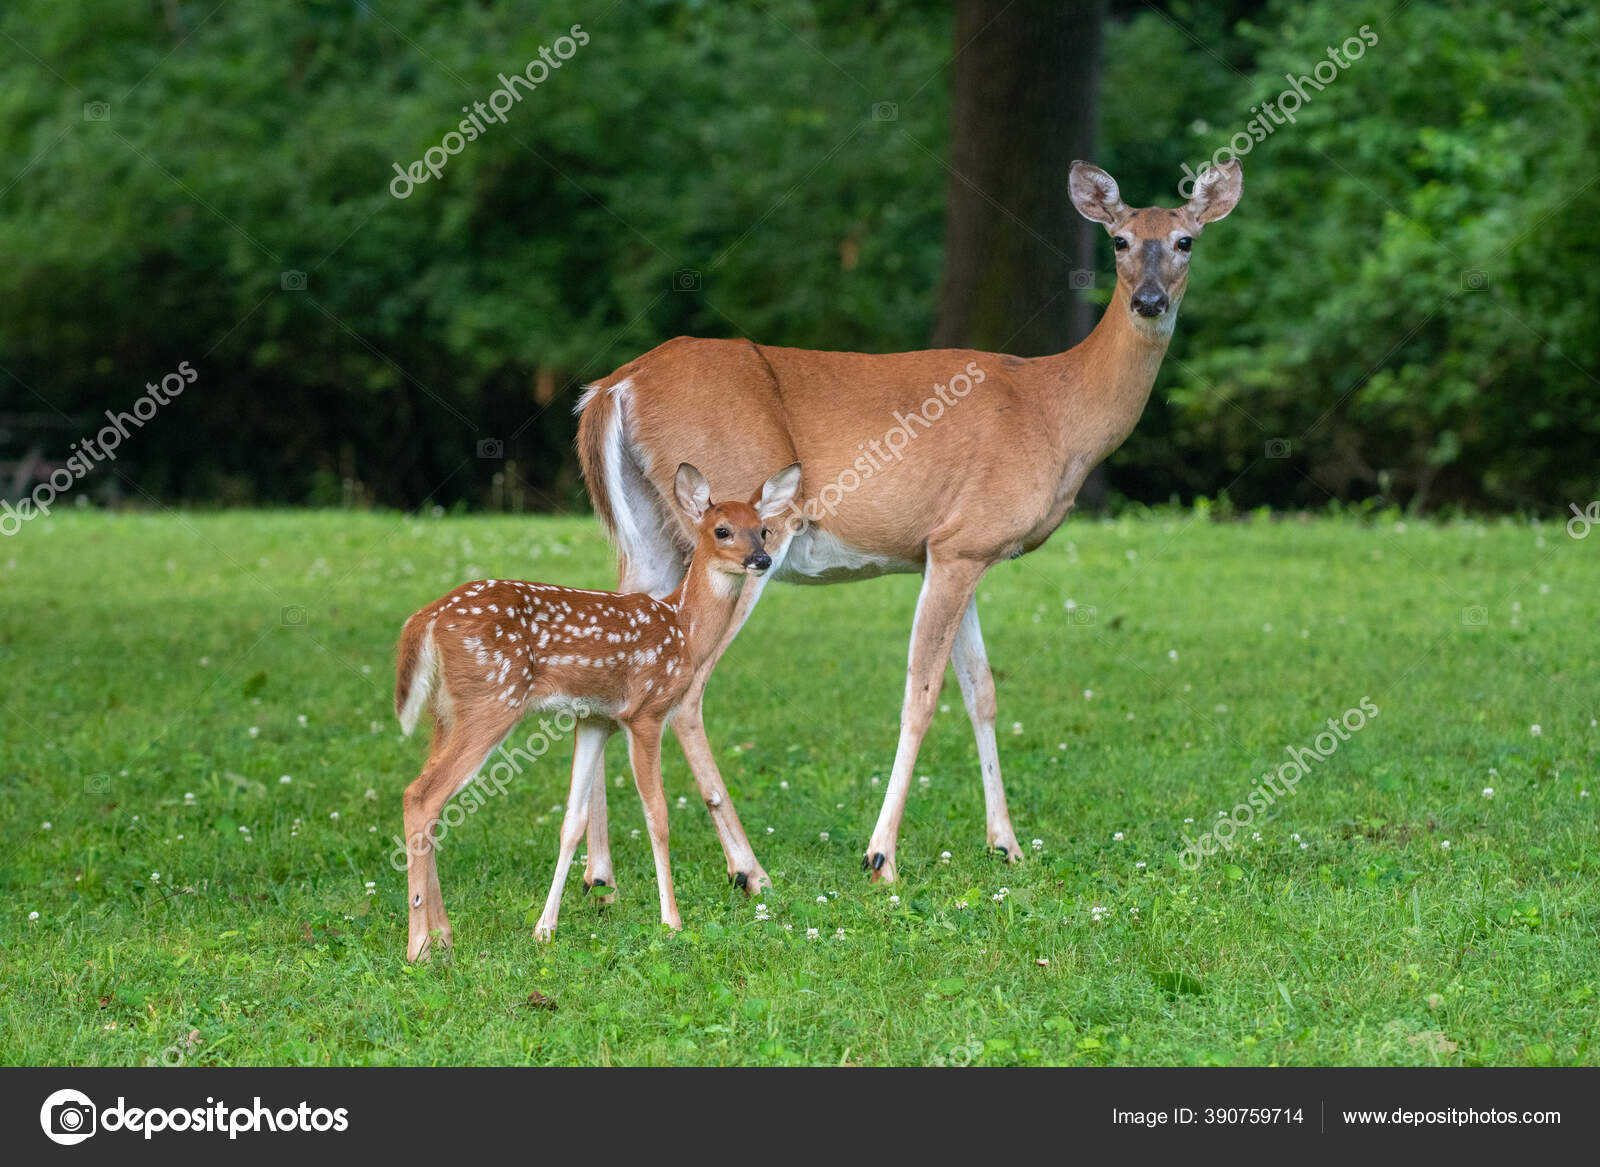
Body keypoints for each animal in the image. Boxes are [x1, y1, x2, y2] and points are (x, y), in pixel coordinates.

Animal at [572, 156, 1235, 883]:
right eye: (1119, 240)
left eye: (1185, 240)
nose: (1150, 301)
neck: (1058, 412)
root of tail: (611, 389)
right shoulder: (962, 543)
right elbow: (922, 694)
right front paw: (881, 854)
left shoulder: (956, 547)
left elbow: (982, 691)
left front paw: (1006, 844)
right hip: (743, 533)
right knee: (688, 690)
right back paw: (748, 869)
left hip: (650, 538)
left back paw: (600, 874)